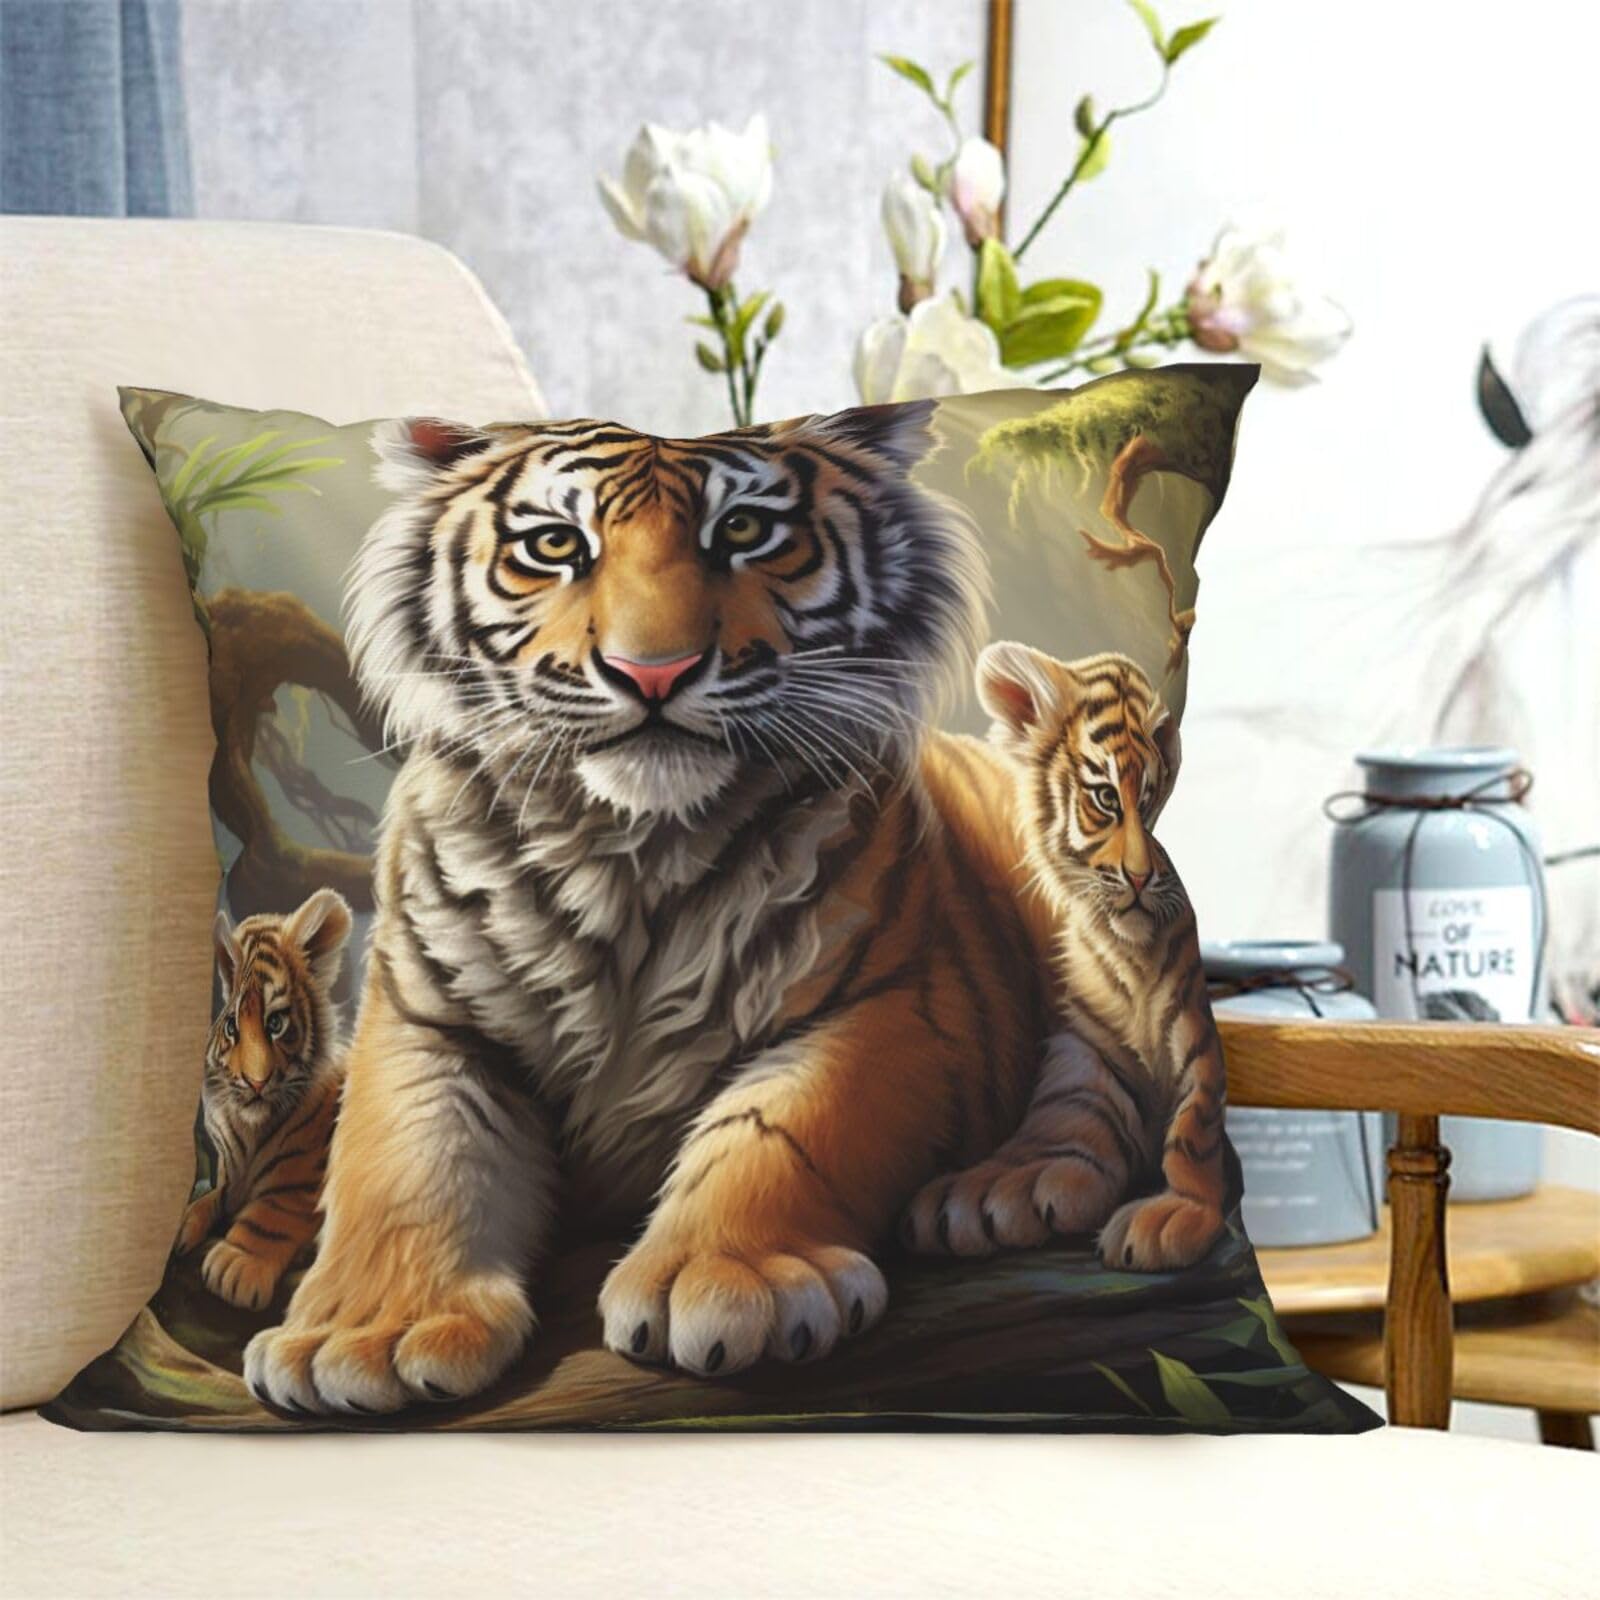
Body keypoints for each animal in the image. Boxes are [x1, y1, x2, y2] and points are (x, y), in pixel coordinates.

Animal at [175, 888, 353, 1310]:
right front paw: (184, 1224)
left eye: (276, 1023)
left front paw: (235, 1265)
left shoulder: (302, 1179)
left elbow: (271, 1214)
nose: (255, 1082)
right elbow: (212, 1199)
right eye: (231, 1026)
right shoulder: (228, 1175)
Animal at [242, 402, 1072, 1416]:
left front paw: (732, 1283)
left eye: (745, 531)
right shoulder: (424, 1015)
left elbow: (783, 1129)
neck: (630, 850)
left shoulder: (891, 1000)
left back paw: (1002, 1196)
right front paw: (369, 1335)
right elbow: (409, 1159)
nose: (653, 672)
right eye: (556, 544)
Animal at [903, 642, 1229, 1271]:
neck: (1130, 955)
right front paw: (983, 1194)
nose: (1141, 877)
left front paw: (1174, 1214)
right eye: (1105, 798)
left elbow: (1194, 1129)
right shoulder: (1086, 1049)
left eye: (1151, 800)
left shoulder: (1195, 1033)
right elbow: (1067, 1120)